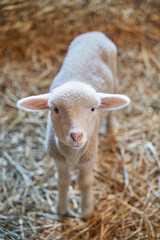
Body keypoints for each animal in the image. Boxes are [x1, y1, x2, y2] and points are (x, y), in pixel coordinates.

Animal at [16, 31, 131, 218]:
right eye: (55, 109)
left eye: (93, 109)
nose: (76, 136)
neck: (73, 154)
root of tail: (94, 33)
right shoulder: (58, 157)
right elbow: (63, 181)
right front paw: (61, 209)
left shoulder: (89, 157)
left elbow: (84, 182)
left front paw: (86, 210)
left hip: (114, 77)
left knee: (112, 110)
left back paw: (111, 129)